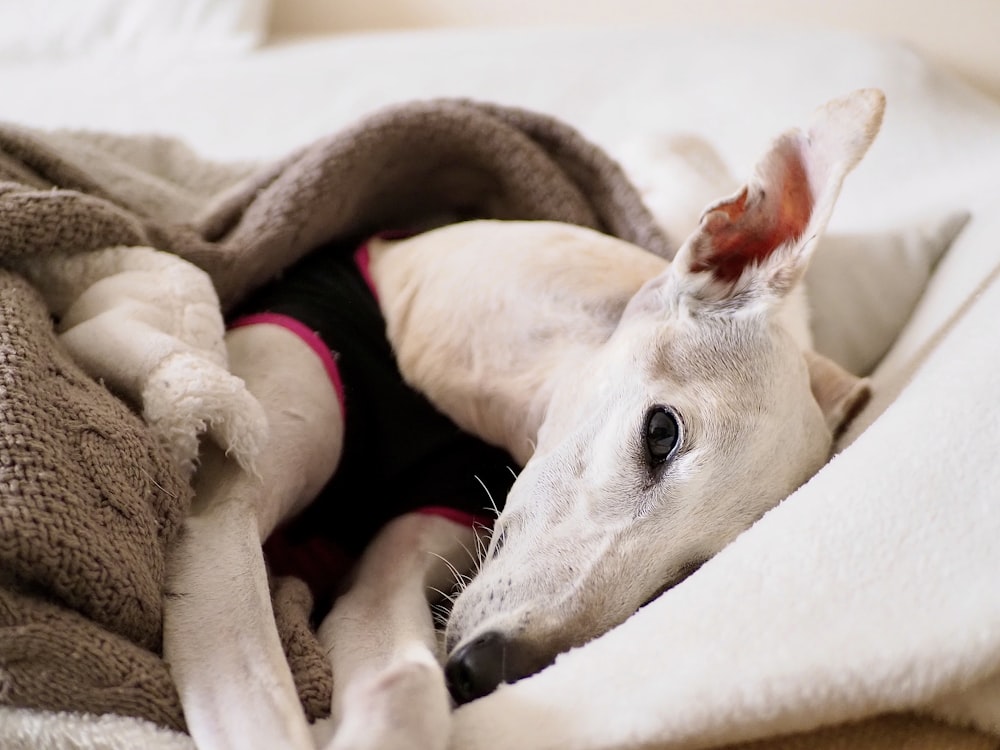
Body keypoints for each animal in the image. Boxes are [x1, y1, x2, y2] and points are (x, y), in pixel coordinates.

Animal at [158, 85, 884, 748]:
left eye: (690, 573)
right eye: (661, 433)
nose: (482, 672)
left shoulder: (398, 571)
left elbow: (401, 682)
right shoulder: (225, 516)